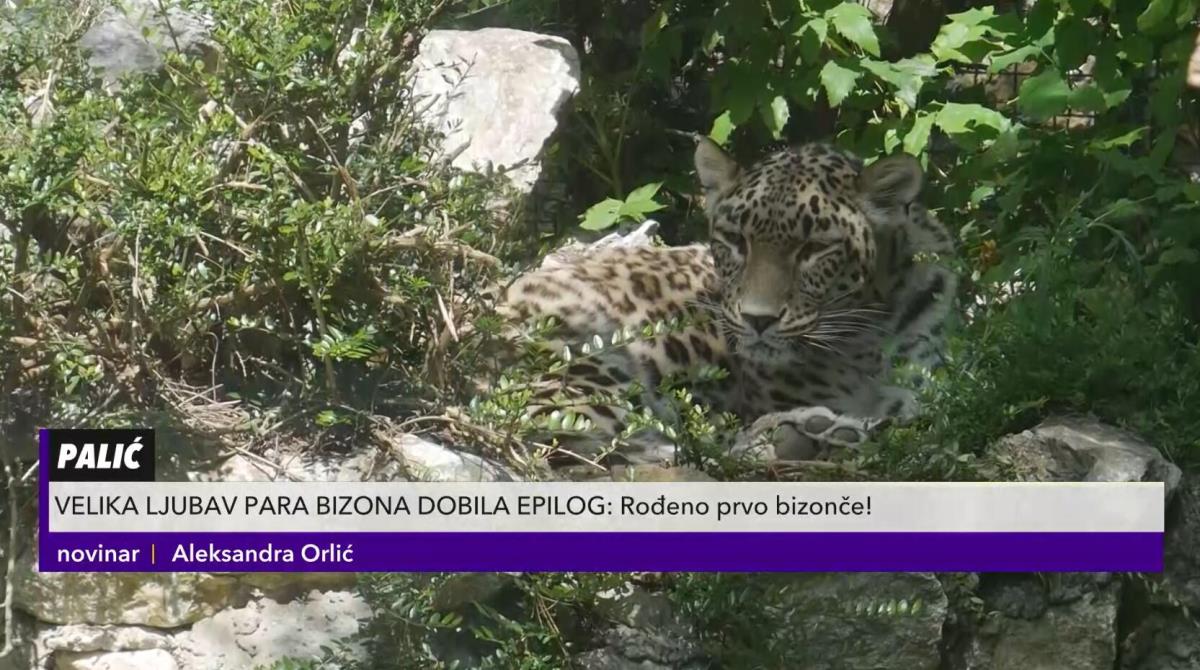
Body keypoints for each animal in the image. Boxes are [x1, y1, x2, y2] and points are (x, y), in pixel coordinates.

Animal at [491, 138, 957, 465]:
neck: (866, 336)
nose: (757, 319)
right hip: (614, 358)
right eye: (735, 240)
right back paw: (811, 431)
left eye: (814, 248)